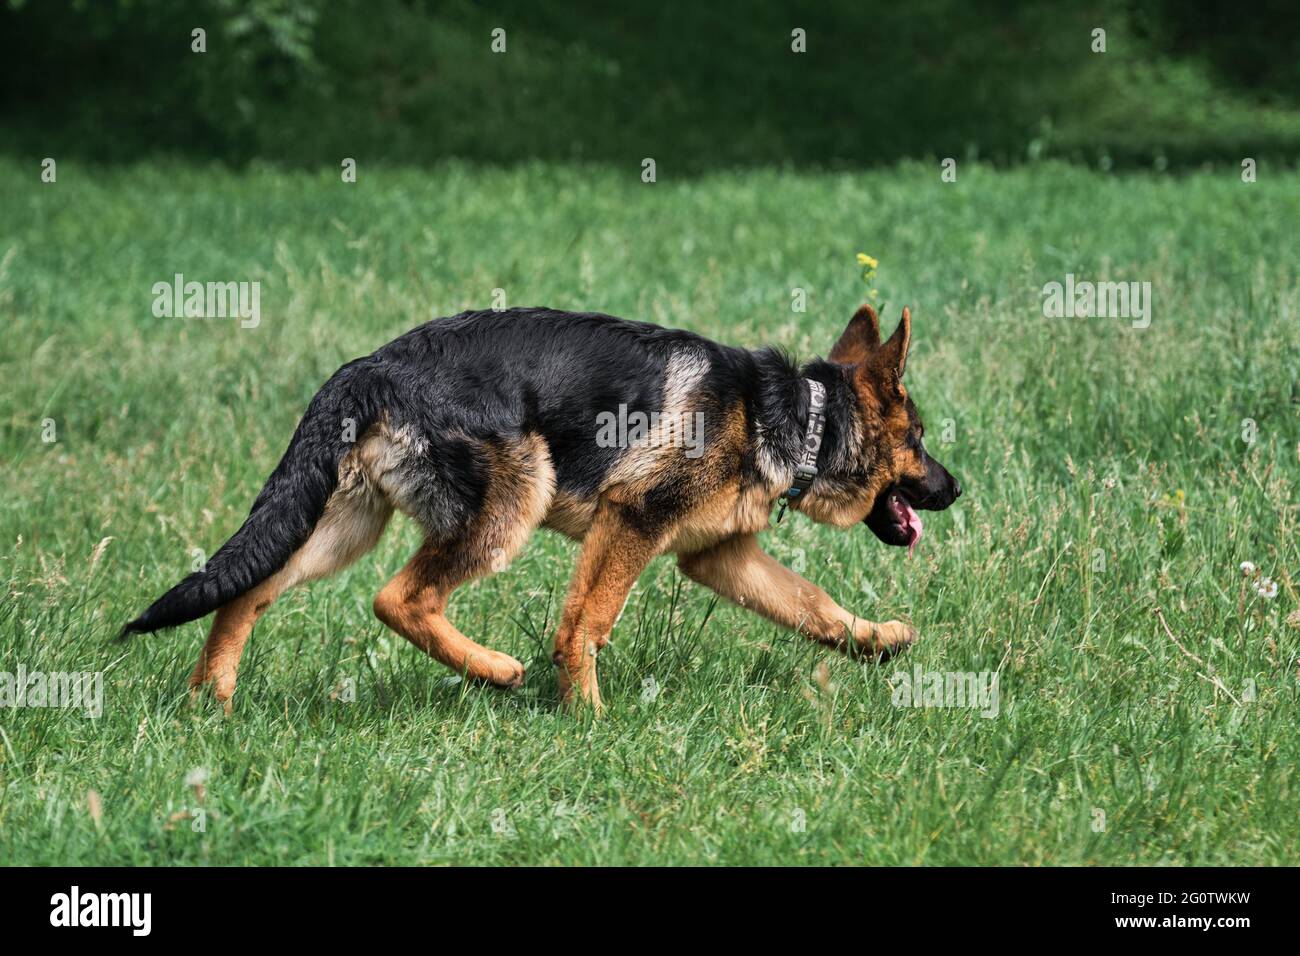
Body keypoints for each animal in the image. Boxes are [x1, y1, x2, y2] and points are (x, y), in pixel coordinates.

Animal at [124, 304, 956, 712]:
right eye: (918, 440)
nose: (956, 489)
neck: (796, 416)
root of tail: (370, 366)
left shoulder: (717, 556)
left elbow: (813, 605)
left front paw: (877, 641)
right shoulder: (632, 518)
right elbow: (584, 626)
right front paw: (589, 720)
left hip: (340, 528)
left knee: (248, 590)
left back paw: (211, 700)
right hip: (513, 505)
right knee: (399, 597)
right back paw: (493, 672)